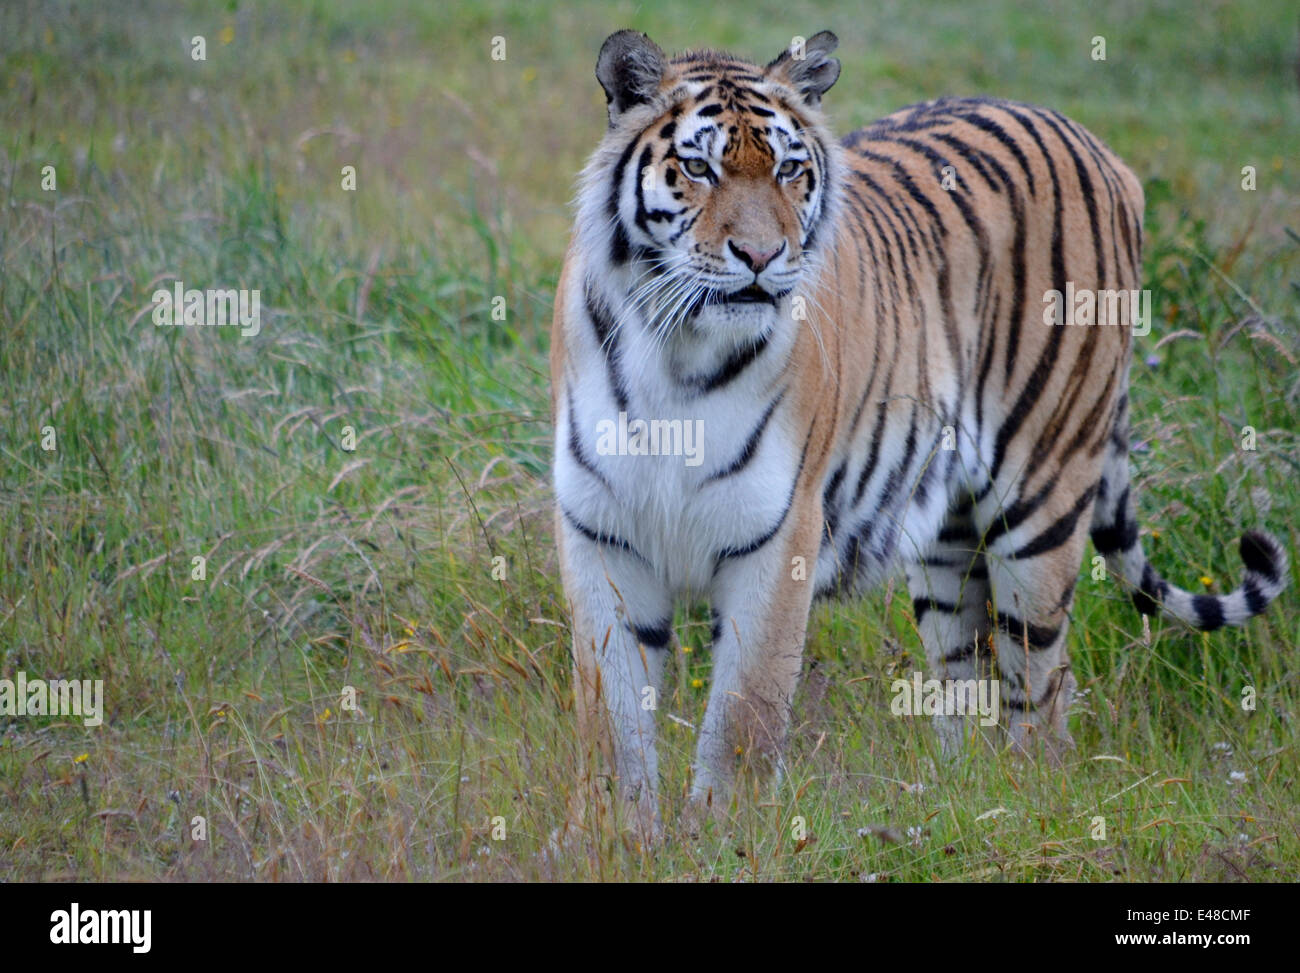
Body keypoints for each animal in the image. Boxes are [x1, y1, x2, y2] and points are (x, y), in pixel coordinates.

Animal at [548, 30, 1289, 837]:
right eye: (698, 168)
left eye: (788, 169)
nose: (762, 257)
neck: (675, 350)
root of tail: (1097, 146)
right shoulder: (603, 533)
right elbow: (611, 716)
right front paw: (617, 836)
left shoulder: (777, 536)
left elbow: (744, 716)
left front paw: (723, 837)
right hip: (945, 541)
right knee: (967, 676)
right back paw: (954, 796)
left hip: (1042, 500)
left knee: (1043, 687)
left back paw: (1024, 804)